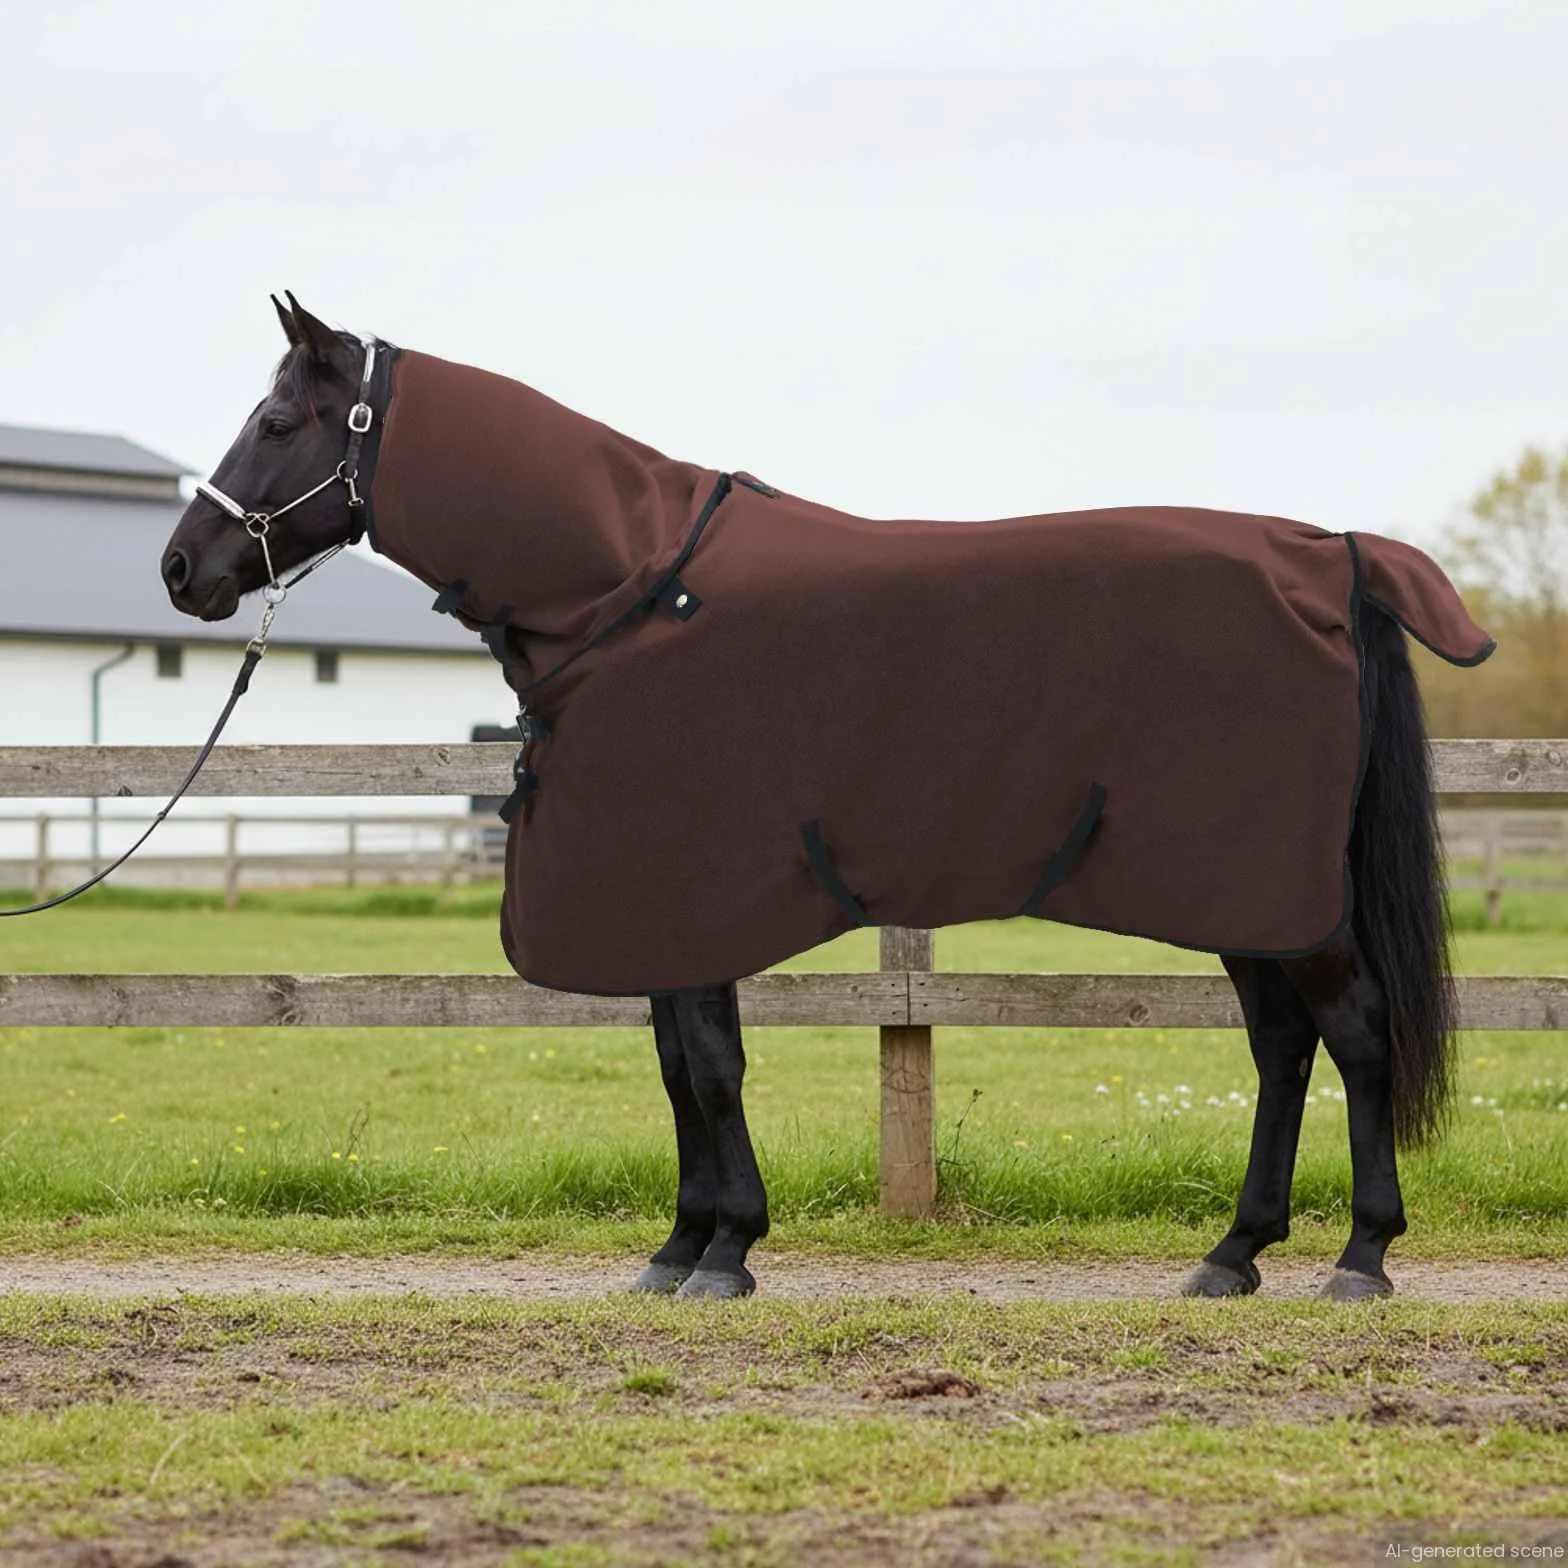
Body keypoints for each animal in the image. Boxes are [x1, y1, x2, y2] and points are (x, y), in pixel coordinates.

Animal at [161, 294, 1493, 1302]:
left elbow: (707, 1065)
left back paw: (1359, 1255)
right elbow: (677, 1064)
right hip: (1243, 894)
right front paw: (679, 1245)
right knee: (1280, 1044)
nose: (182, 568)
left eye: (275, 419)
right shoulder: (659, 901)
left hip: (1279, 892)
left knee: (1353, 1032)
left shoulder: (691, 885)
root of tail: (1329, 553)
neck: (631, 587)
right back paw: (1233, 1252)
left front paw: (726, 1251)